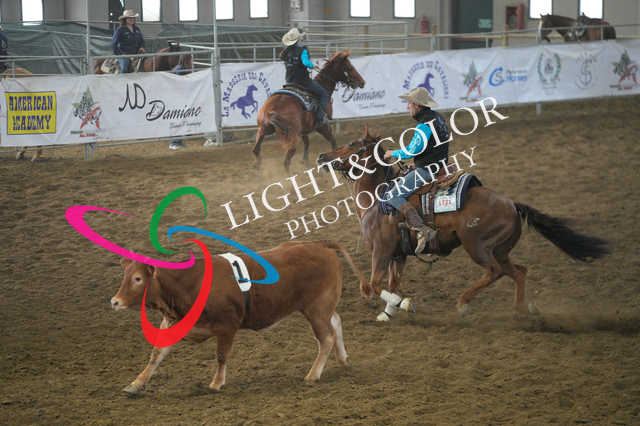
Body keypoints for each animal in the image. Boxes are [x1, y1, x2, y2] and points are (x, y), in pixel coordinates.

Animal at [317, 126, 610, 320]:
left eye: (352, 144)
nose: (321, 157)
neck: (377, 201)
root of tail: (511, 204)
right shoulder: (398, 255)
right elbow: (392, 284)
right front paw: (391, 312)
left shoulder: (381, 251)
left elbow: (373, 287)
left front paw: (402, 304)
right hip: (500, 249)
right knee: (518, 271)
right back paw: (522, 309)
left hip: (476, 245)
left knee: (494, 272)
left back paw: (464, 304)